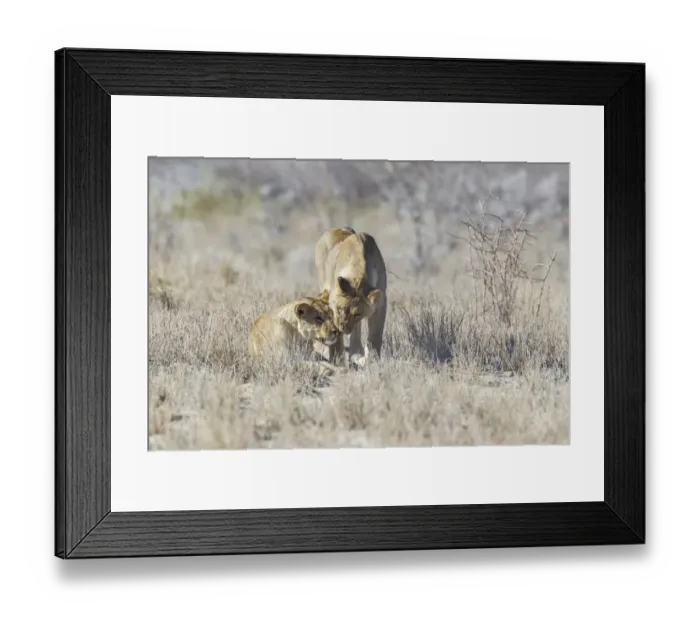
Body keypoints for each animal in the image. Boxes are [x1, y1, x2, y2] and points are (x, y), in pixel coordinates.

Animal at [314, 227, 387, 367]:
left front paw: (372, 359)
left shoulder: (381, 302)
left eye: (357, 314)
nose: (342, 328)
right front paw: (338, 360)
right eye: (339, 308)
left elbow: (375, 335)